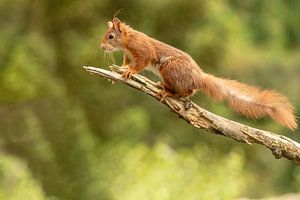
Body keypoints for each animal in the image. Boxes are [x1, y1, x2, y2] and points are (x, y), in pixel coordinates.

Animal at [101, 17, 298, 130]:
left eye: (111, 36)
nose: (102, 47)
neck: (127, 42)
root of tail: (198, 78)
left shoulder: (143, 51)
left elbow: (140, 64)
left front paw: (129, 72)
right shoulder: (128, 56)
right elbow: (125, 64)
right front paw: (121, 70)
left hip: (169, 68)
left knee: (185, 92)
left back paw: (167, 92)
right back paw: (162, 85)